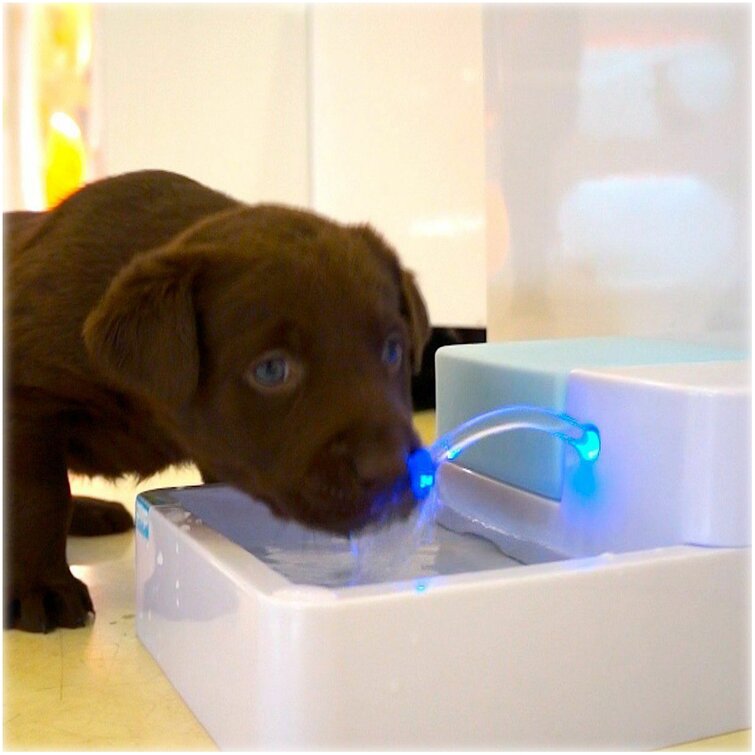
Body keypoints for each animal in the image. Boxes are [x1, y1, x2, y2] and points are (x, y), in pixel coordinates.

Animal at [4, 171, 432, 632]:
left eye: (392, 350)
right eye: (271, 370)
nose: (392, 471)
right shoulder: (27, 405)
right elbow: (38, 499)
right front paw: (41, 587)